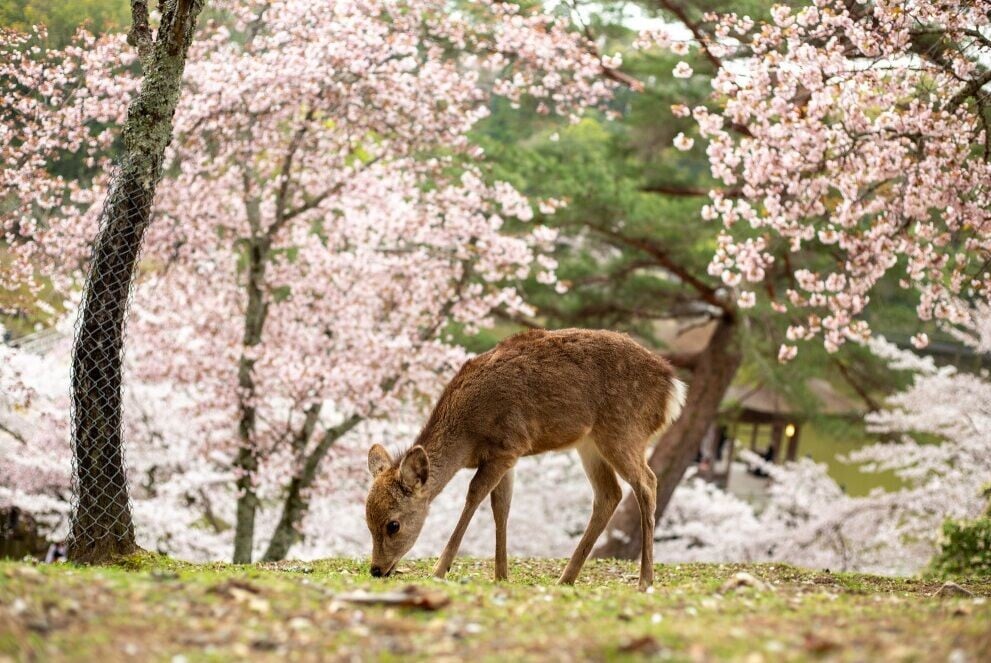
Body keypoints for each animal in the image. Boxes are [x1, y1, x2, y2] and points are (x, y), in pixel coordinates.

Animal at [364, 328, 687, 591]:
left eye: (393, 525)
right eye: (367, 521)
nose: (377, 570)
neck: (468, 437)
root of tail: (673, 389)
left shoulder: (508, 444)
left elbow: (474, 496)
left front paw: (440, 570)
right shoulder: (507, 456)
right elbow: (501, 507)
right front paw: (501, 575)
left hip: (624, 430)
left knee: (647, 482)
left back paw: (645, 580)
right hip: (590, 444)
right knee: (610, 494)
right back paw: (566, 578)